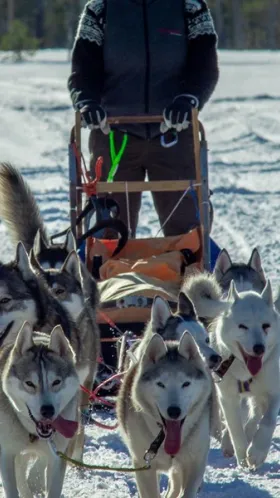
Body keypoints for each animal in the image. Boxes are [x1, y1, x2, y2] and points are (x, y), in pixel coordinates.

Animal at [0, 320, 79, 496]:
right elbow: (13, 488)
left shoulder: (57, 458)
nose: (47, 410)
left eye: (56, 382)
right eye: (30, 383)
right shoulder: (6, 455)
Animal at [211, 282, 280, 468]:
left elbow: (268, 421)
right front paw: (241, 456)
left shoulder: (274, 392)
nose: (259, 348)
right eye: (243, 326)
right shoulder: (227, 397)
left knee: (256, 414)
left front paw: (257, 452)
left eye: (265, 326)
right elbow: (235, 428)